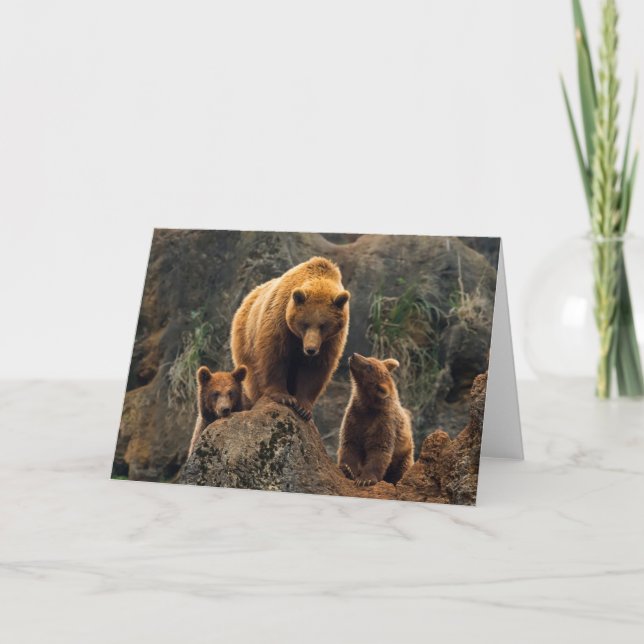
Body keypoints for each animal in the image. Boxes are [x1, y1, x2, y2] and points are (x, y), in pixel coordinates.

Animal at [231, 256, 350, 421]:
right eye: (305, 324)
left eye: (323, 325)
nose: (310, 349)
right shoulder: (280, 321)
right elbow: (275, 355)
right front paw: (284, 397)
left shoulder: (330, 340)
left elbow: (315, 368)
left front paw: (303, 407)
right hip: (246, 339)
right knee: (253, 375)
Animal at [337, 353, 414, 486]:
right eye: (370, 358)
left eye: (369, 367)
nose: (354, 355)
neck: (368, 405)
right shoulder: (354, 416)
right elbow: (350, 443)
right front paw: (347, 469)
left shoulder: (383, 422)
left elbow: (379, 449)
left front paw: (365, 479)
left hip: (404, 455)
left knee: (402, 470)